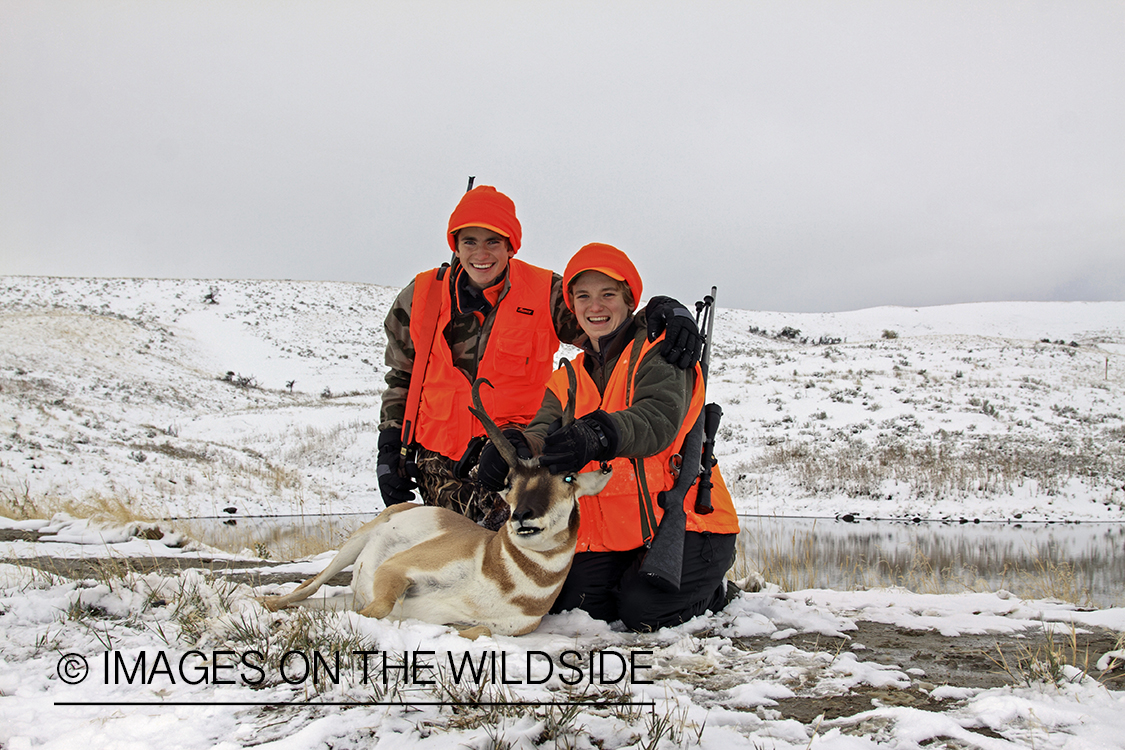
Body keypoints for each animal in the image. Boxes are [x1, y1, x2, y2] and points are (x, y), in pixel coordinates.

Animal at [259, 364, 612, 638]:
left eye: (568, 479)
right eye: (509, 483)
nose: (523, 516)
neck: (498, 574)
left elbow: (478, 630)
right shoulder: (395, 570)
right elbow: (378, 609)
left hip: (350, 591)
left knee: (314, 602)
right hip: (352, 546)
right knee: (306, 587)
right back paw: (267, 606)